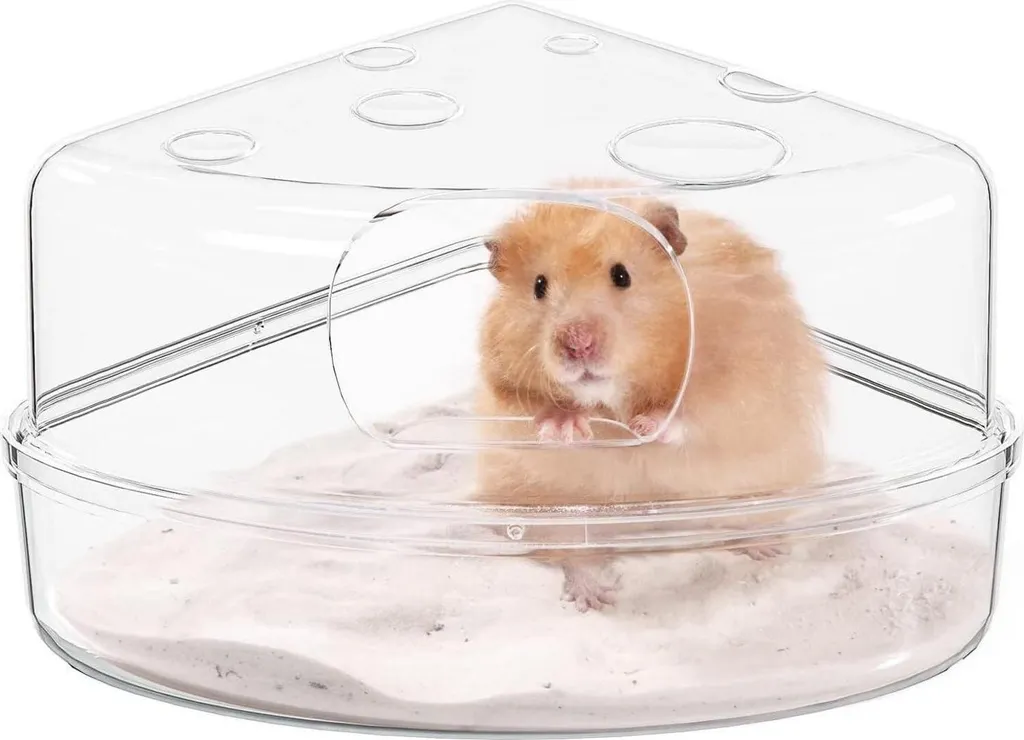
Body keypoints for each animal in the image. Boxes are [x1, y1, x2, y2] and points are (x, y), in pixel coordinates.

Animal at [475, 195, 827, 611]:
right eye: (539, 286)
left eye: (622, 275)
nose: (577, 343)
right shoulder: (505, 390)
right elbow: (529, 409)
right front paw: (567, 426)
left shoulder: (743, 374)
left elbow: (699, 409)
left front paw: (645, 426)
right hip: (552, 515)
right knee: (574, 556)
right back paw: (596, 598)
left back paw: (769, 549)